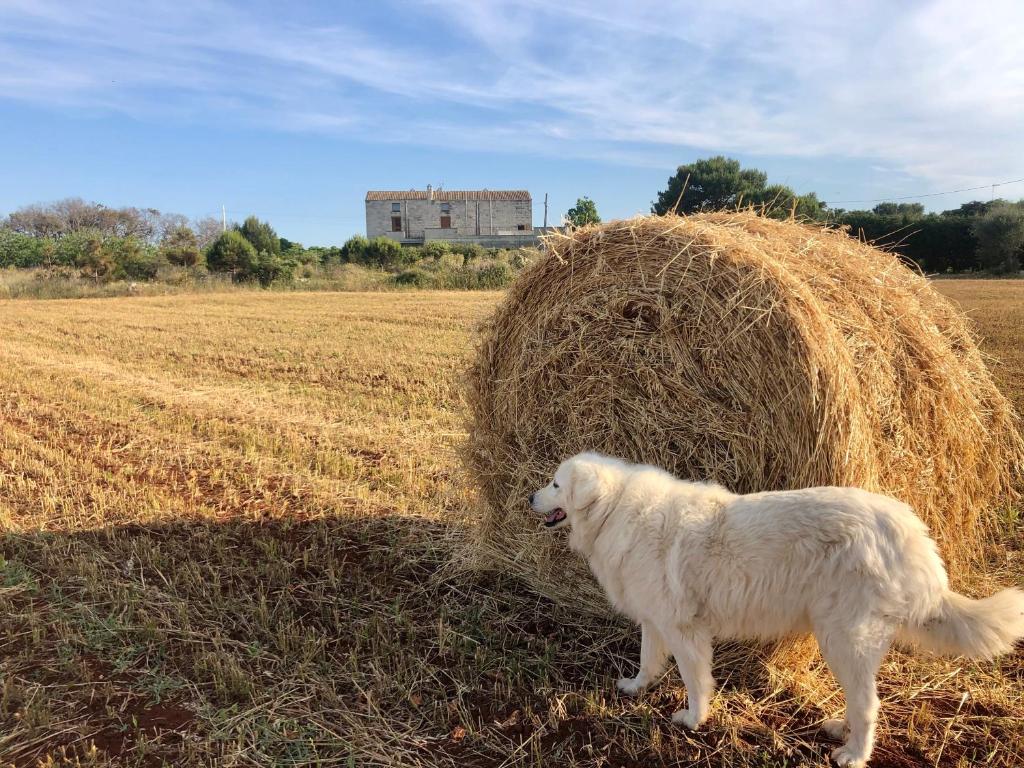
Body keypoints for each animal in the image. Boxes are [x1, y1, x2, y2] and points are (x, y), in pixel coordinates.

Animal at [532, 454, 1019, 768]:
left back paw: (853, 754)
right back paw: (841, 730)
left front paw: (693, 720)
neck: (615, 510)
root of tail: (912, 532)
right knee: (860, 699)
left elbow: (695, 681)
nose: (530, 499)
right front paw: (635, 688)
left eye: (556, 484)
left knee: (869, 704)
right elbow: (648, 661)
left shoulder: (685, 629)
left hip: (843, 639)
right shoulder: (655, 620)